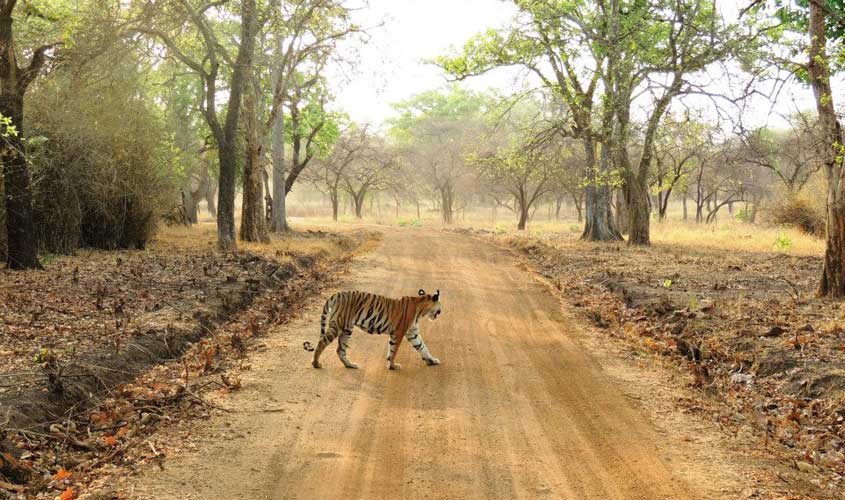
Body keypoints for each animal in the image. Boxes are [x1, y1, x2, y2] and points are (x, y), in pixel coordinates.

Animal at [306, 289, 443, 370]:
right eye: (440, 305)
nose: (441, 311)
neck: (421, 310)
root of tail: (336, 294)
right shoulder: (398, 333)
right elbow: (394, 350)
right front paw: (393, 366)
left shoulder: (412, 333)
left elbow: (423, 347)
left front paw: (432, 360)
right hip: (338, 324)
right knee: (322, 342)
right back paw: (316, 364)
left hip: (347, 329)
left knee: (340, 350)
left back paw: (350, 365)